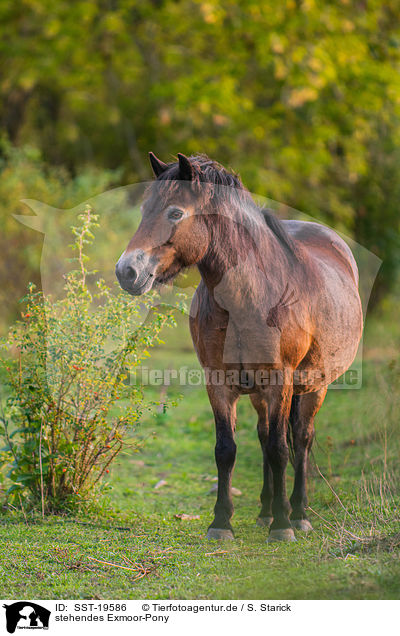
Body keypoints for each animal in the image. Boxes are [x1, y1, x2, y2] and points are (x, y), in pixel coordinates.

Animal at [115, 154, 362, 540]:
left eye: (175, 213)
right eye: (144, 209)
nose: (126, 271)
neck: (251, 297)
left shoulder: (280, 383)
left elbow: (280, 450)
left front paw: (282, 526)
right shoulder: (218, 383)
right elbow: (226, 449)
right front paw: (221, 522)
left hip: (314, 386)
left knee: (300, 439)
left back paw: (298, 513)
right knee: (264, 436)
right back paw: (266, 510)